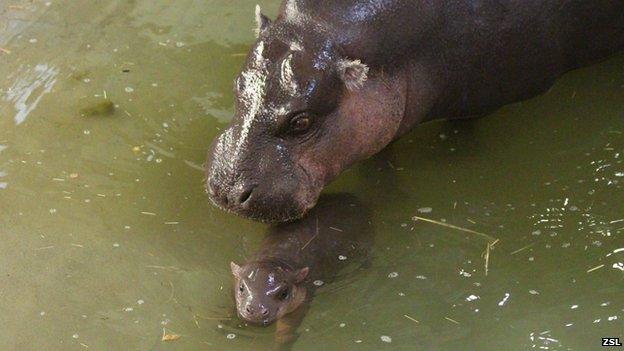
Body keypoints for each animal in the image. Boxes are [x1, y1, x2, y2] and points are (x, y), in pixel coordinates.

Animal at [208, 0, 624, 221]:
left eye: (302, 121)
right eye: (237, 85)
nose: (227, 191)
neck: (322, 30)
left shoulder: (483, 100)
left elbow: (460, 132)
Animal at [230, 195, 370, 350]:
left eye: (284, 293)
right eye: (241, 287)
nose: (256, 312)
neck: (275, 259)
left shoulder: (300, 302)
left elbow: (287, 330)